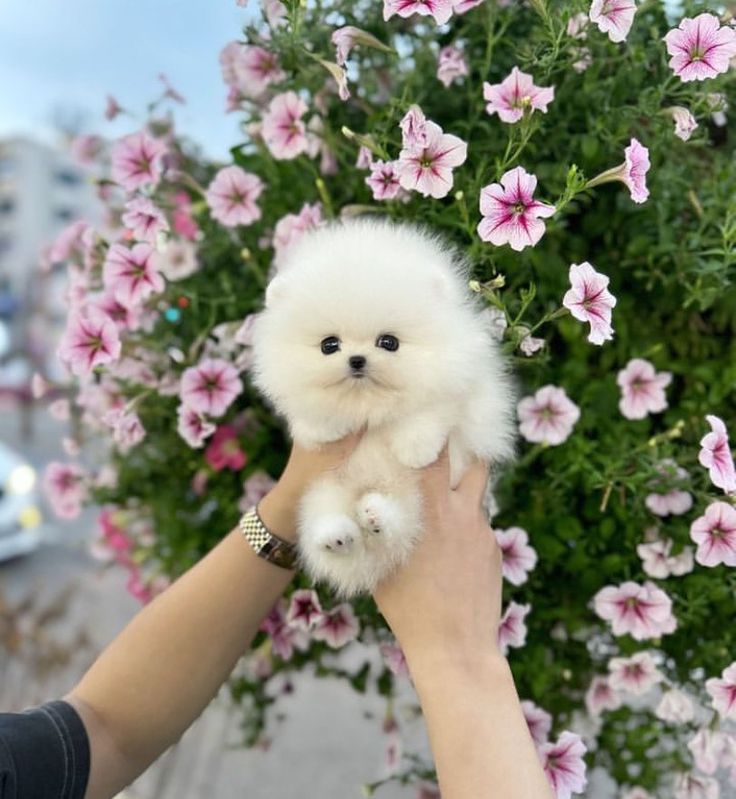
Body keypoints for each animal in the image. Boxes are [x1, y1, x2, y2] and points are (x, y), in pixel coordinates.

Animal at [253, 216, 516, 596]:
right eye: (329, 345)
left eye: (388, 342)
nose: (357, 360)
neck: (368, 405)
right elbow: (312, 410)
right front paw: (326, 427)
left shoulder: (461, 380)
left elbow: (429, 408)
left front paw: (415, 449)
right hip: (324, 492)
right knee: (333, 530)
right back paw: (337, 537)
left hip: (411, 502)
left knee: (396, 528)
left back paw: (376, 518)